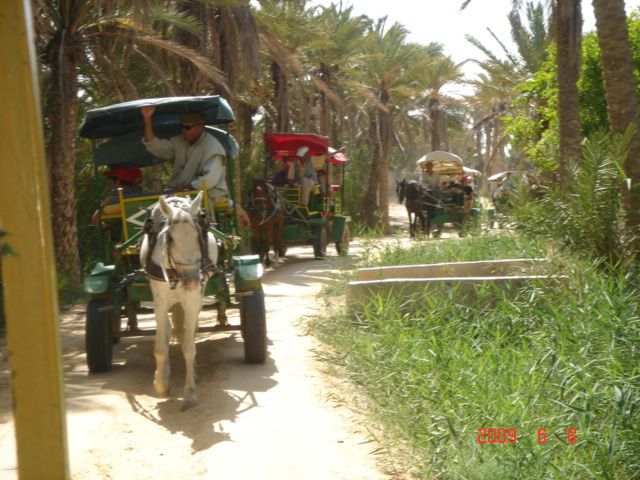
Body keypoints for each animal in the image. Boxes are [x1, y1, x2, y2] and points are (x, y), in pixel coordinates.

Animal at [139, 193, 216, 410]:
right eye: (170, 239)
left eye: (199, 235)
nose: (191, 281)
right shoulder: (159, 301)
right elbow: (160, 347)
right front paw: (160, 384)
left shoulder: (191, 301)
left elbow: (189, 347)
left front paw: (189, 392)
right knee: (167, 329)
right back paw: (164, 374)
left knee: (189, 330)